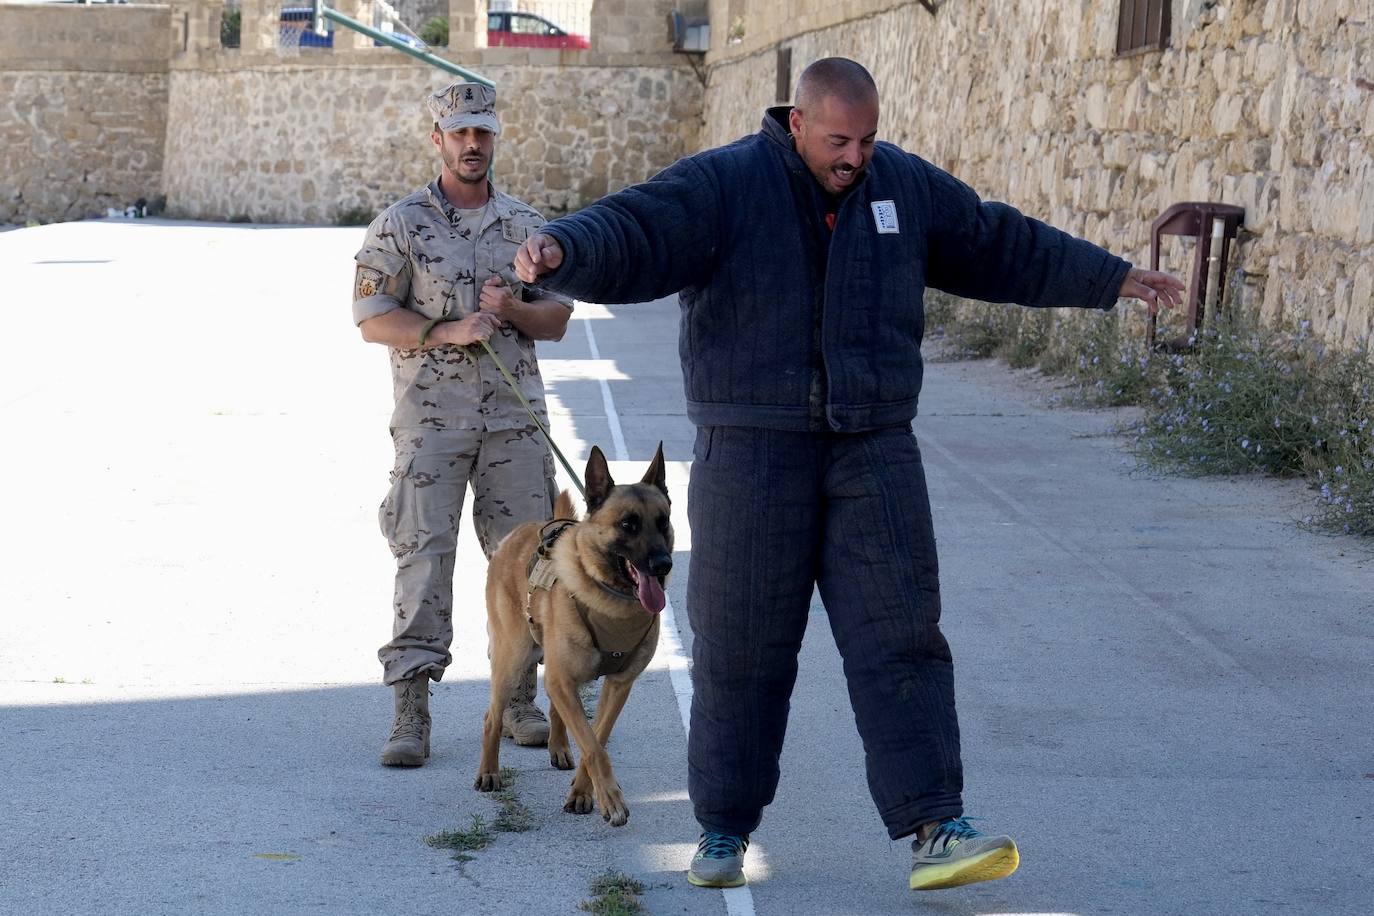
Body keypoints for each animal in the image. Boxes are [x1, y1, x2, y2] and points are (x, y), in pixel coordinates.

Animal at [478, 439, 676, 829]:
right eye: (628, 524)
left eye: (663, 522)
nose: (663, 565)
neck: (611, 597)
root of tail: (520, 533)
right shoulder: (564, 678)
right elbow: (594, 746)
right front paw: (611, 800)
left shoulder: (617, 686)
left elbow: (595, 739)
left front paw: (583, 794)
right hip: (512, 661)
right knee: (492, 717)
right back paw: (489, 772)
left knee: (558, 711)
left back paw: (559, 748)